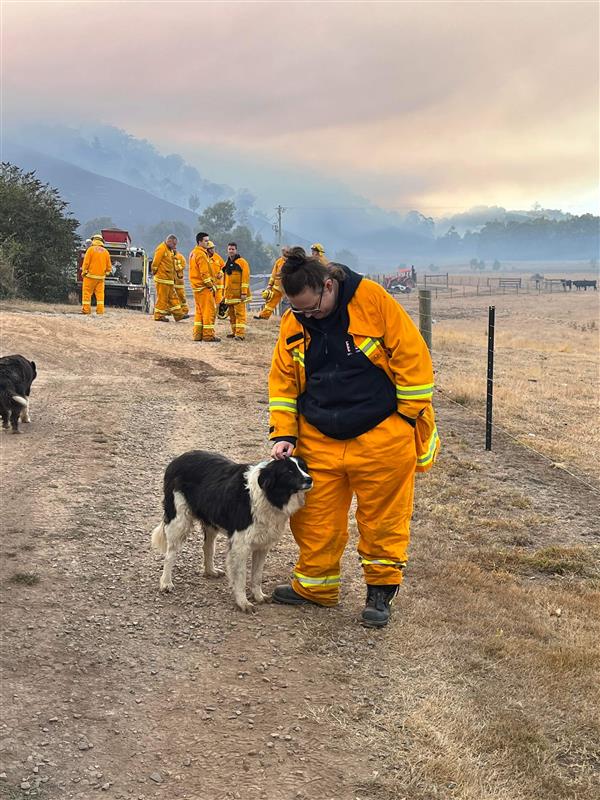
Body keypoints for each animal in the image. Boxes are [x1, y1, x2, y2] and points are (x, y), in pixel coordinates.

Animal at [151, 450, 314, 612]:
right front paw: (243, 602)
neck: (268, 495)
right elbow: (241, 577)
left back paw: (210, 571)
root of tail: (178, 459)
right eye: (289, 471)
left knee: (207, 547)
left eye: (303, 467)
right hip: (179, 520)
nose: (309, 479)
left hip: (211, 520)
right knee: (170, 553)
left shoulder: (263, 545)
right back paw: (166, 582)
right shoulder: (240, 545)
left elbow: (257, 575)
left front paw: (258, 596)